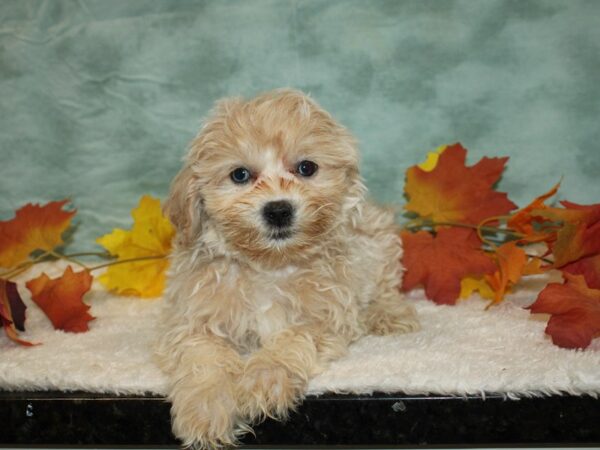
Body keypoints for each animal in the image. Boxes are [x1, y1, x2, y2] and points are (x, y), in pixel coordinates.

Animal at [156, 89, 418, 448]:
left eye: (306, 168)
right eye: (240, 175)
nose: (278, 209)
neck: (270, 265)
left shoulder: (326, 316)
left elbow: (292, 338)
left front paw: (262, 379)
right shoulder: (193, 318)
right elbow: (202, 357)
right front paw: (205, 409)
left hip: (379, 241)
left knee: (385, 285)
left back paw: (388, 314)